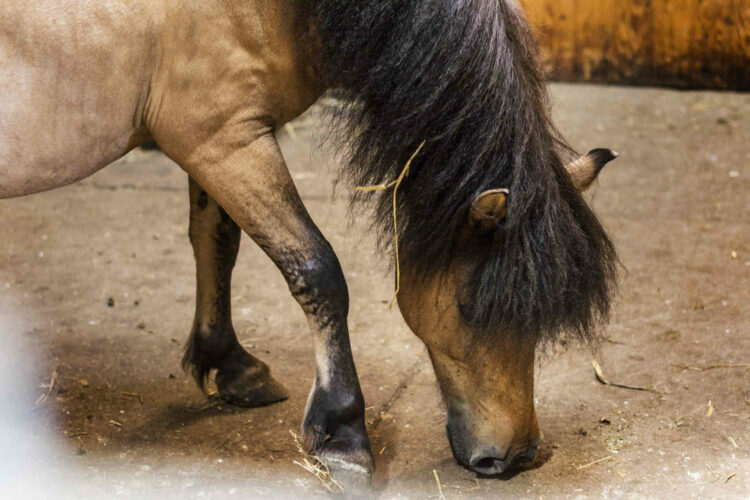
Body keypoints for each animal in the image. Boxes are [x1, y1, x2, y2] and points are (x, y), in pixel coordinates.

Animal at [1, 0, 618, 479]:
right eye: (468, 307)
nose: (514, 456)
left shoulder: (218, 143)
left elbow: (218, 240)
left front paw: (229, 363)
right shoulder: (221, 140)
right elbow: (318, 271)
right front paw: (343, 434)